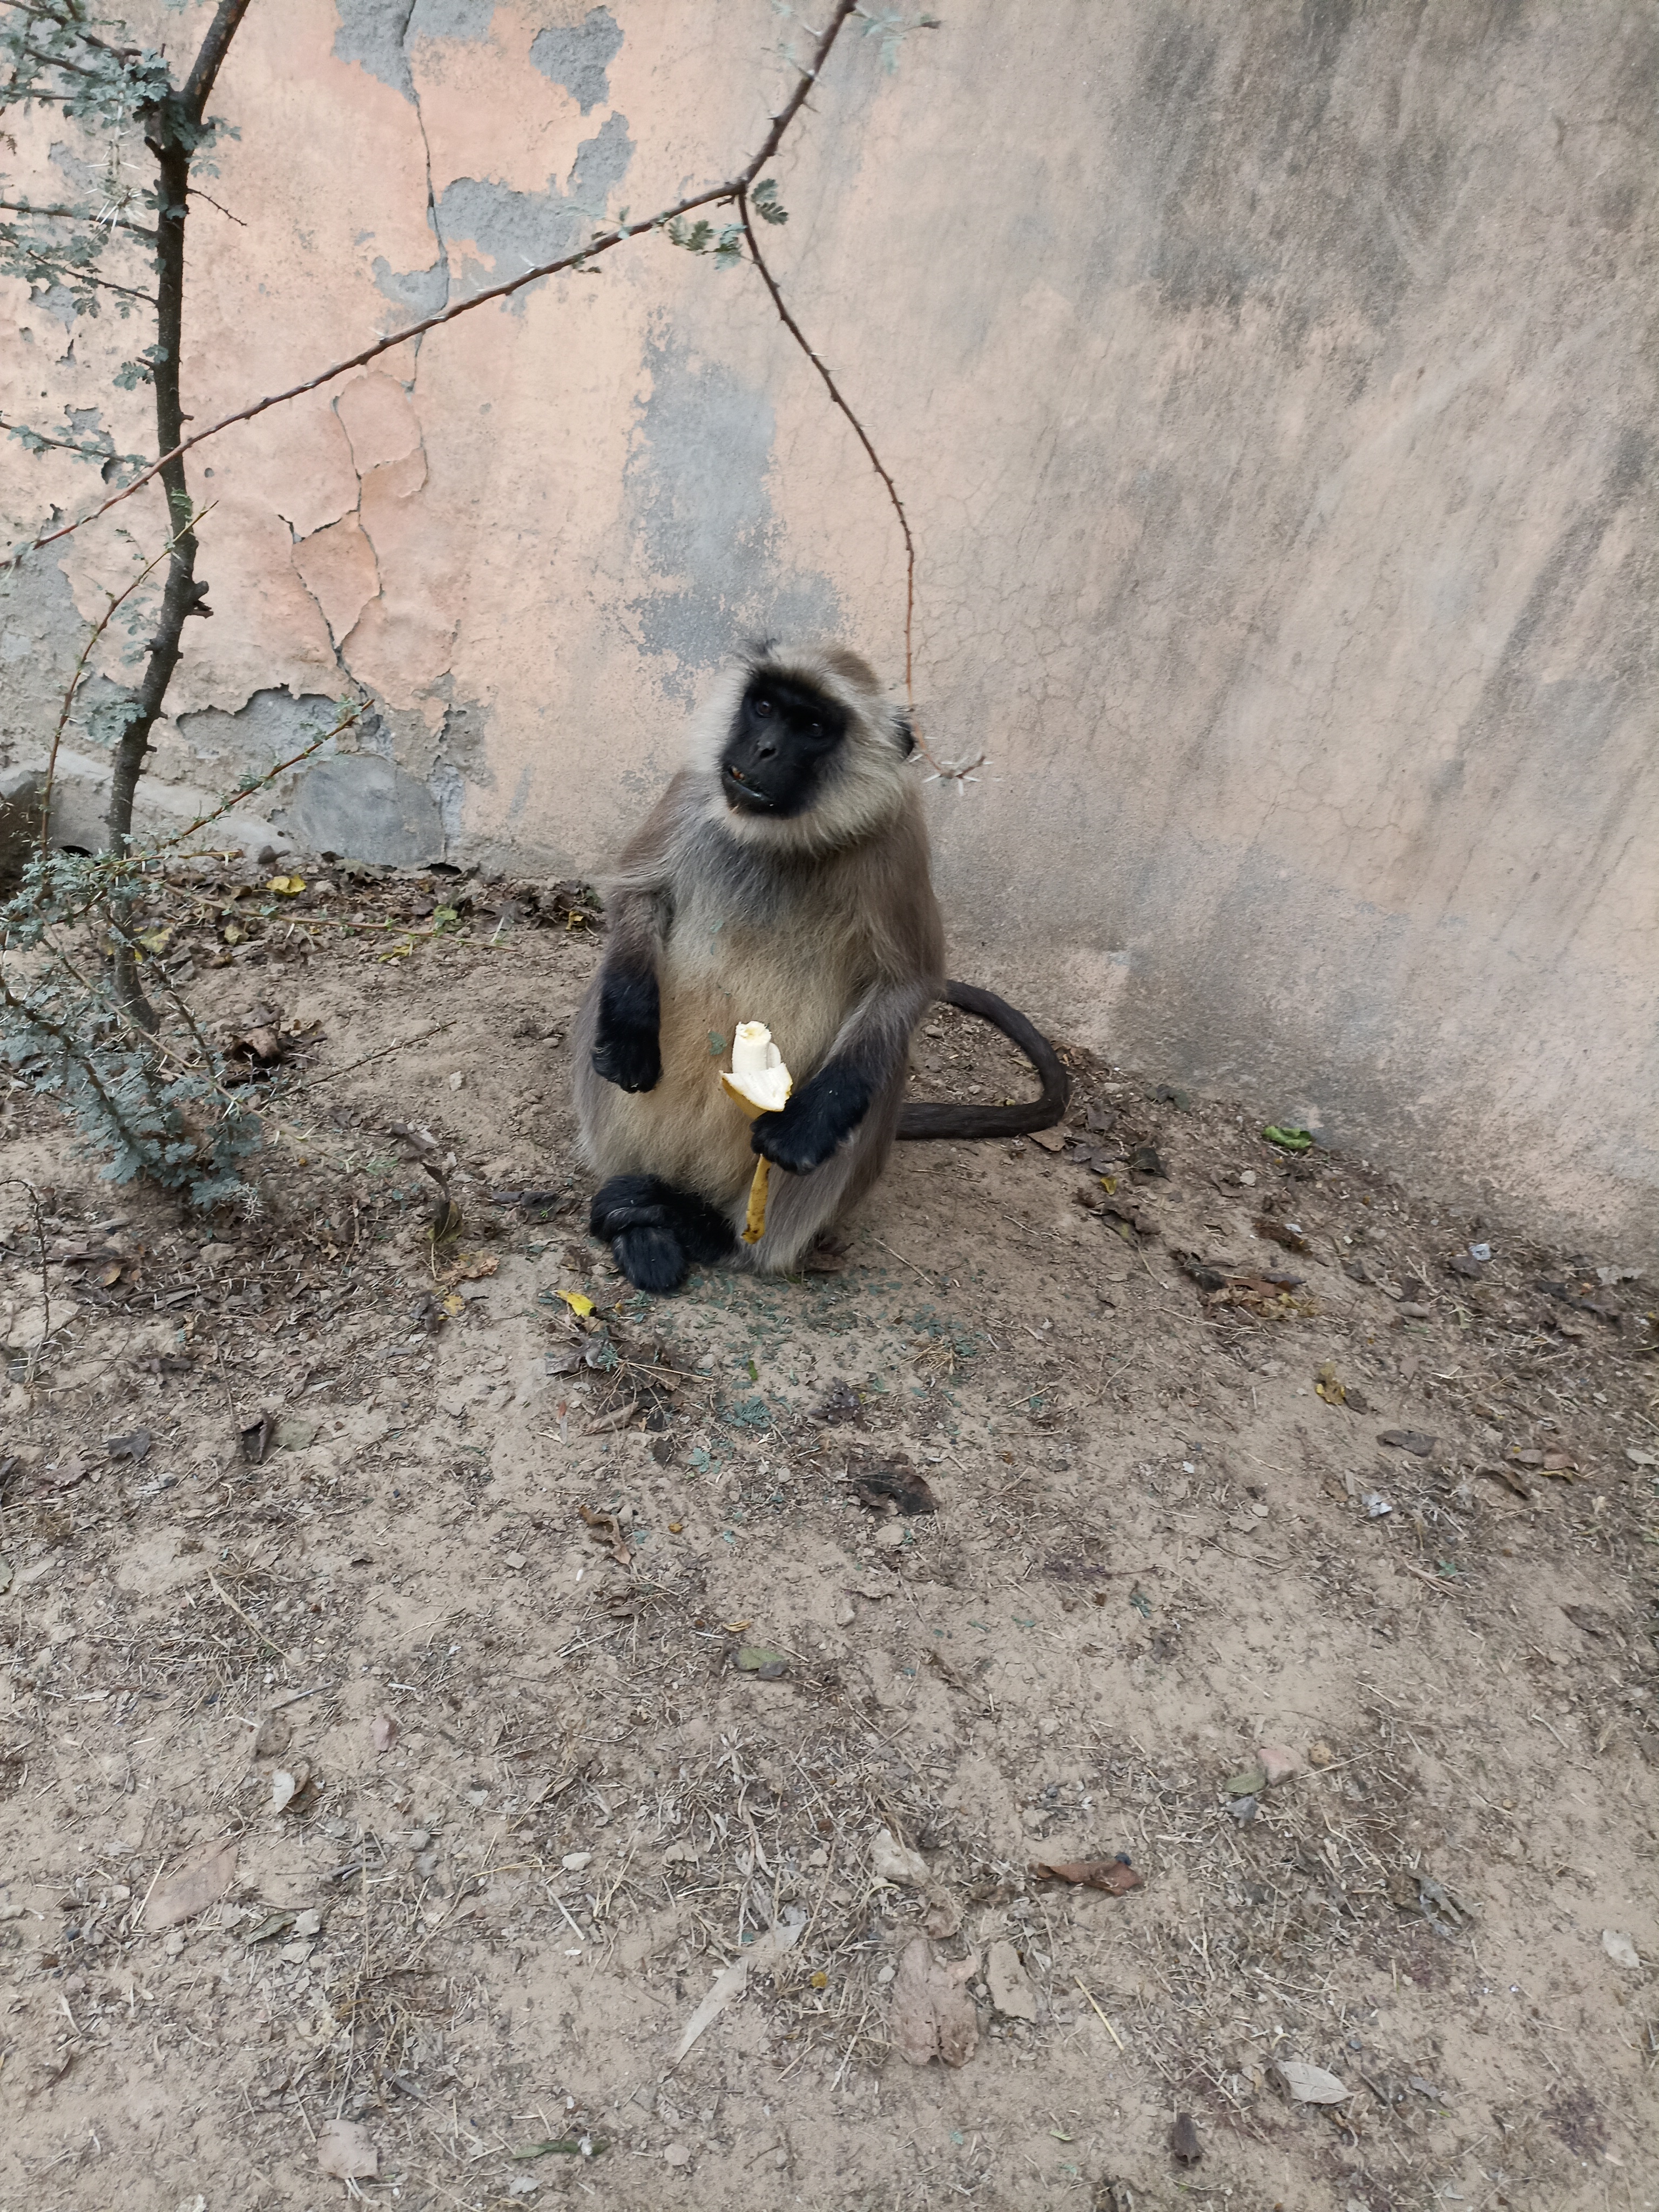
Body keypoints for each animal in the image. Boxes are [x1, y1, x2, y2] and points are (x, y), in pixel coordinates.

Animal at [572, 639, 1067, 1294]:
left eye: (810, 727)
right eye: (763, 707)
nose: (763, 748)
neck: (781, 838)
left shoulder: (897, 841)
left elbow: (907, 983)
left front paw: (808, 1125)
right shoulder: (693, 790)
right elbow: (638, 896)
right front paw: (632, 1026)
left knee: (878, 1073)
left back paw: (711, 1233)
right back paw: (642, 1224)